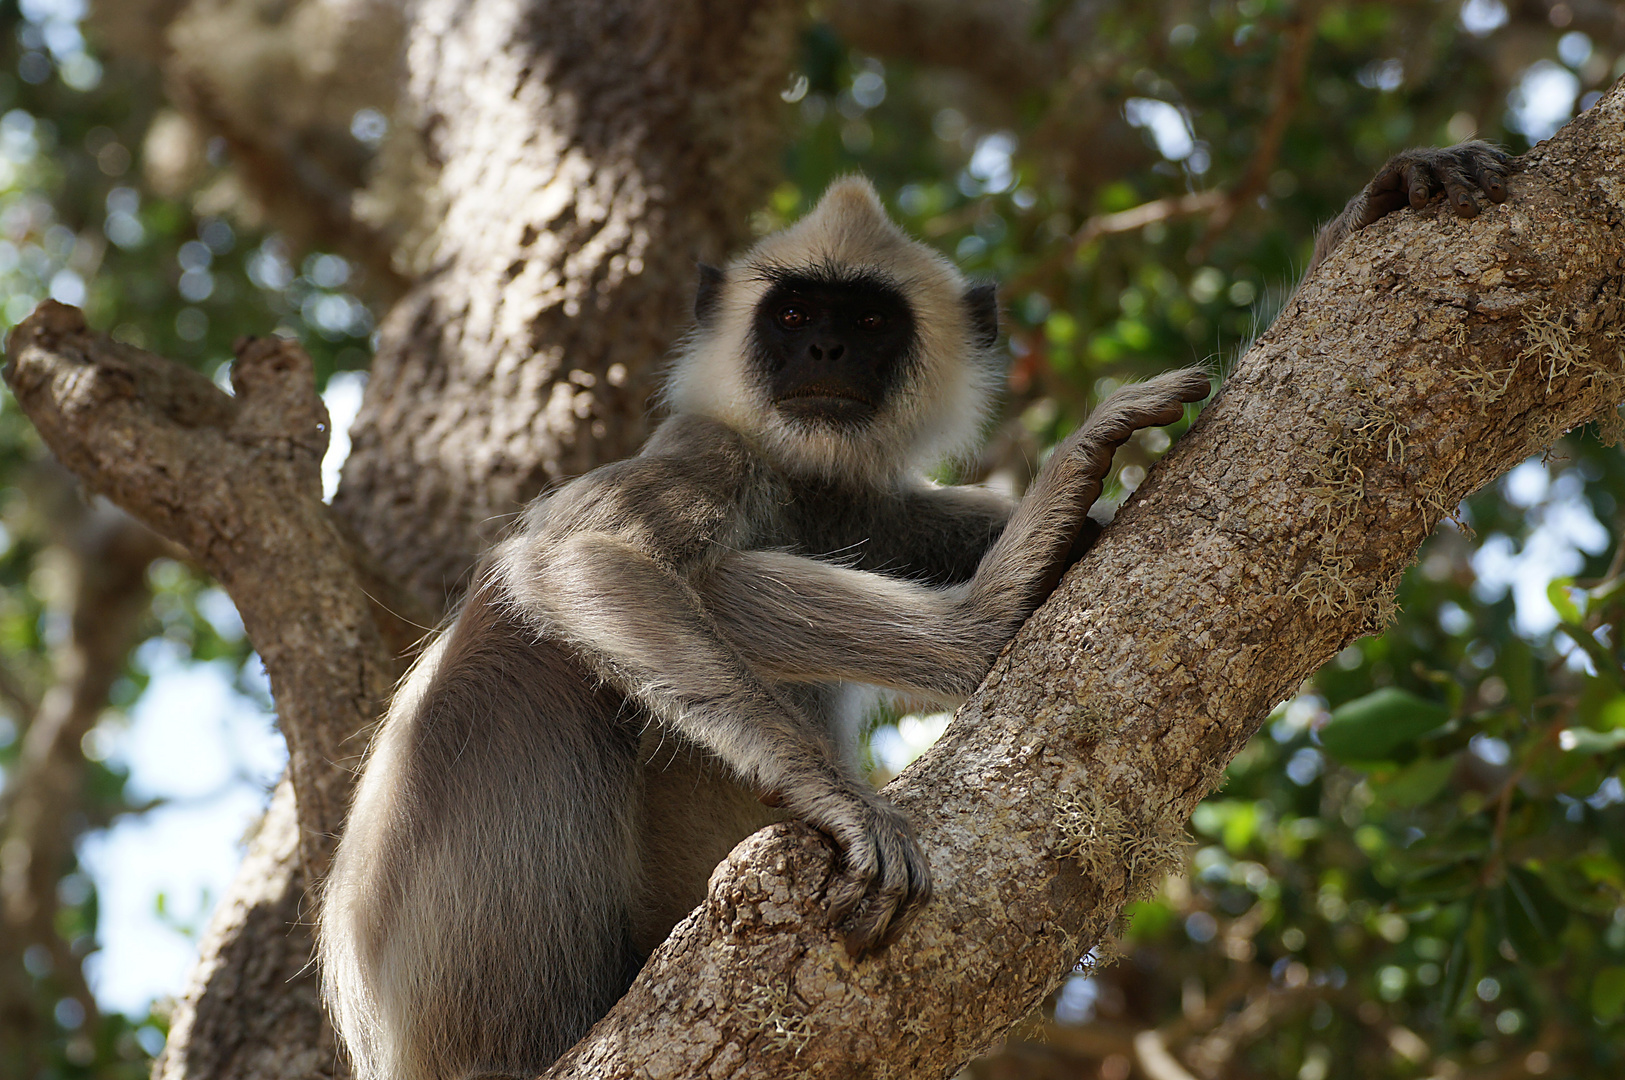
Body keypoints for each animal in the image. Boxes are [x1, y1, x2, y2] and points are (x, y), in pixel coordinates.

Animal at [316, 142, 1508, 1078]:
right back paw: (981, 627)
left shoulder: (875, 507)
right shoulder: (710, 450)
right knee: (586, 616)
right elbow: (573, 558)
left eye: (867, 318)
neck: (804, 481)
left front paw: (1363, 215)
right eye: (795, 312)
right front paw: (835, 799)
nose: (823, 352)